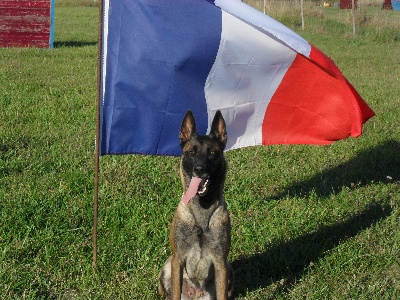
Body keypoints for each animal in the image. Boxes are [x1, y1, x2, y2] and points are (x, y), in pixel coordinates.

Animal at [158, 110, 233, 300]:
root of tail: (195, 294)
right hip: (167, 265)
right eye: (191, 152)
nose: (199, 169)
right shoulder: (177, 259)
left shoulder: (221, 262)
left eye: (212, 152)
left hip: (229, 268)